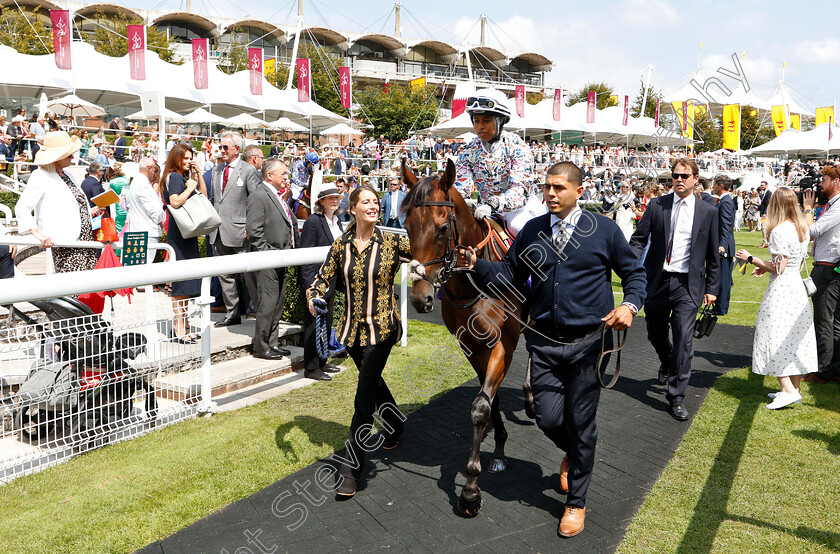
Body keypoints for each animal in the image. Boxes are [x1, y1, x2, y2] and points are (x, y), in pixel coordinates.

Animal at [398, 157, 532, 516]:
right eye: (406, 226)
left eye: (443, 228)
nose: (420, 298)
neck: (476, 281)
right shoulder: (470, 346)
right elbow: (488, 398)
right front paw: (497, 450)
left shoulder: (504, 344)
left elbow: (481, 407)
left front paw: (471, 490)